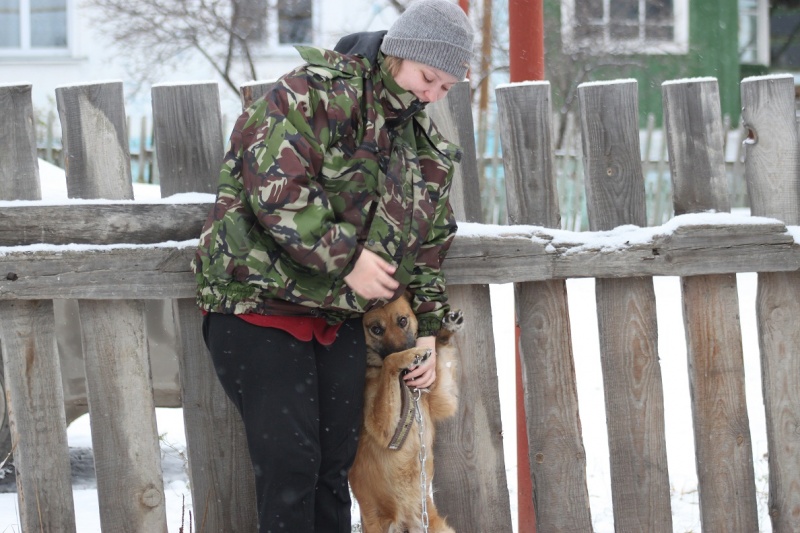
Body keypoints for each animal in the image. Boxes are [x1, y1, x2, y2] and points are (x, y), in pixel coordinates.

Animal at [350, 293, 463, 533]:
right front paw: (409, 355)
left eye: (402, 320)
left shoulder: (441, 399)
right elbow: (390, 361)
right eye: (376, 329)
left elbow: (440, 354)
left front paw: (446, 329)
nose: (410, 370)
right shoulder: (384, 428)